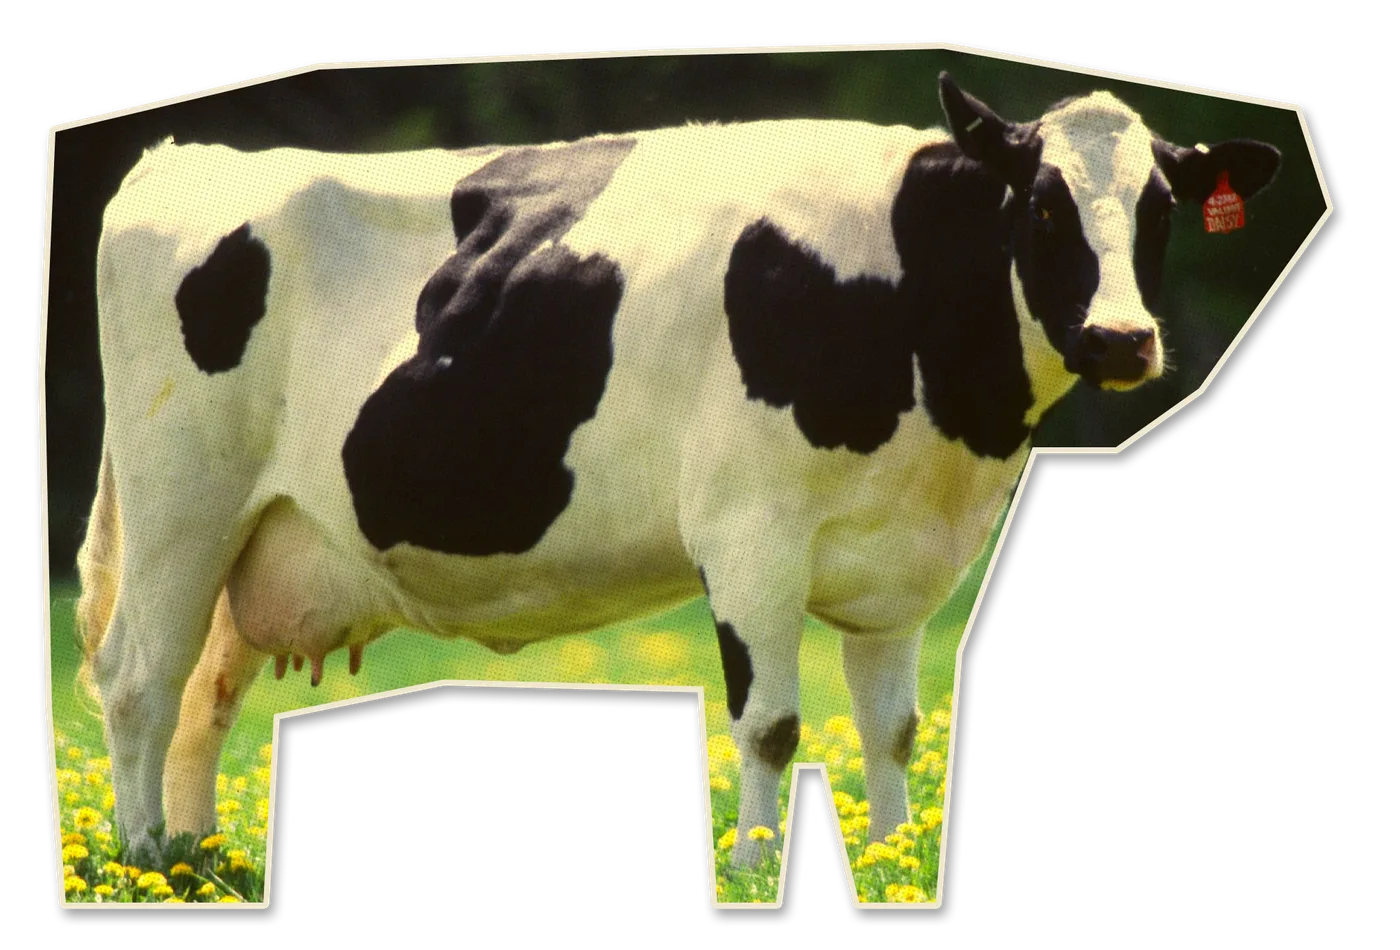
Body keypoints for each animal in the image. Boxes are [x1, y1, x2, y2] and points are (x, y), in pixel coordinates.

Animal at [73, 73, 1280, 875]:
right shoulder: (750, 533)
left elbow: (892, 728)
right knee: (137, 679)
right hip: (181, 503)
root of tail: (183, 156)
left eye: (1160, 209)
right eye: (1042, 205)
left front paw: (894, 865)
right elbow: (773, 724)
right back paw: (141, 858)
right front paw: (751, 870)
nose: (1122, 339)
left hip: (256, 536)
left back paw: (198, 859)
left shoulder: (904, 564)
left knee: (202, 696)